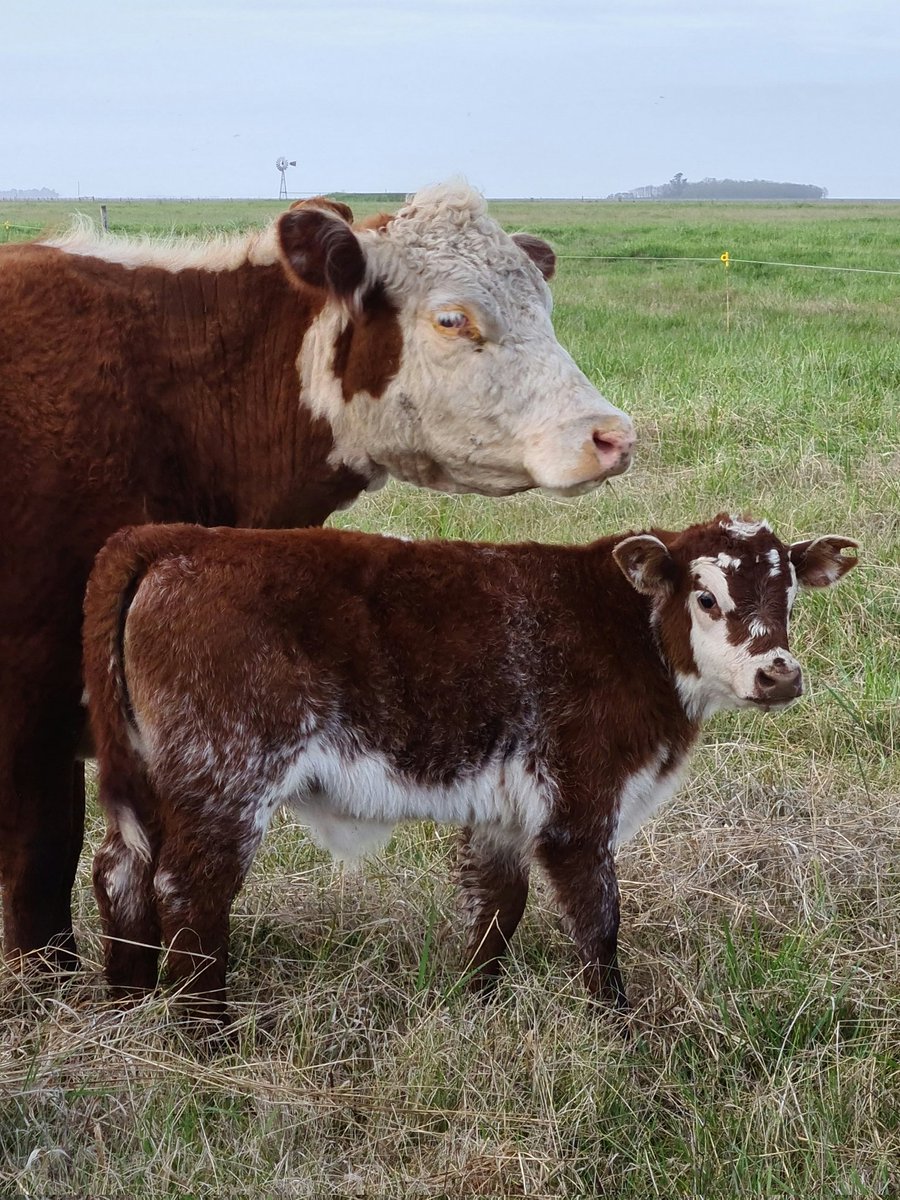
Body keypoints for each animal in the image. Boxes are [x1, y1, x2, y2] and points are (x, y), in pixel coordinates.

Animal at [81, 514, 857, 1023]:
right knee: (189, 890)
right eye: (706, 598)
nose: (779, 674)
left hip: (156, 772)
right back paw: (206, 1032)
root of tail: (176, 538)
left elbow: (496, 910)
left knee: (122, 867)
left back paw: (126, 1003)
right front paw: (617, 1031)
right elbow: (598, 921)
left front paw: (475, 1004)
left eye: (790, 597)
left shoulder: (503, 808)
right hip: (227, 774)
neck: (629, 630)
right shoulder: (578, 802)